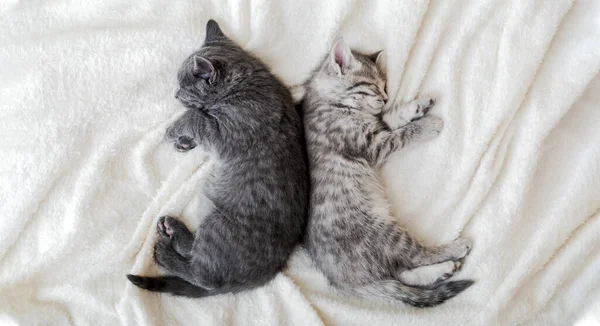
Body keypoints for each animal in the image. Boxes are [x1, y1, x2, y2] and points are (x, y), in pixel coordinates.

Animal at [129, 19, 312, 296]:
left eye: (183, 87)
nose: (174, 95)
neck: (248, 82)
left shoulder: (227, 135)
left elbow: (196, 116)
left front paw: (174, 130)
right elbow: (200, 118)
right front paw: (185, 141)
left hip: (219, 227)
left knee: (202, 275)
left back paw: (165, 252)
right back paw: (174, 230)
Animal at [302, 39, 476, 306]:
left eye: (385, 86)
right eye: (374, 87)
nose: (386, 97)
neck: (331, 102)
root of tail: (343, 281)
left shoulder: (378, 127)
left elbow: (391, 118)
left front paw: (416, 106)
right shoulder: (373, 145)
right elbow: (401, 135)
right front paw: (427, 125)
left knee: (401, 271)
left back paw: (442, 271)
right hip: (384, 233)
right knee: (417, 255)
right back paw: (454, 250)